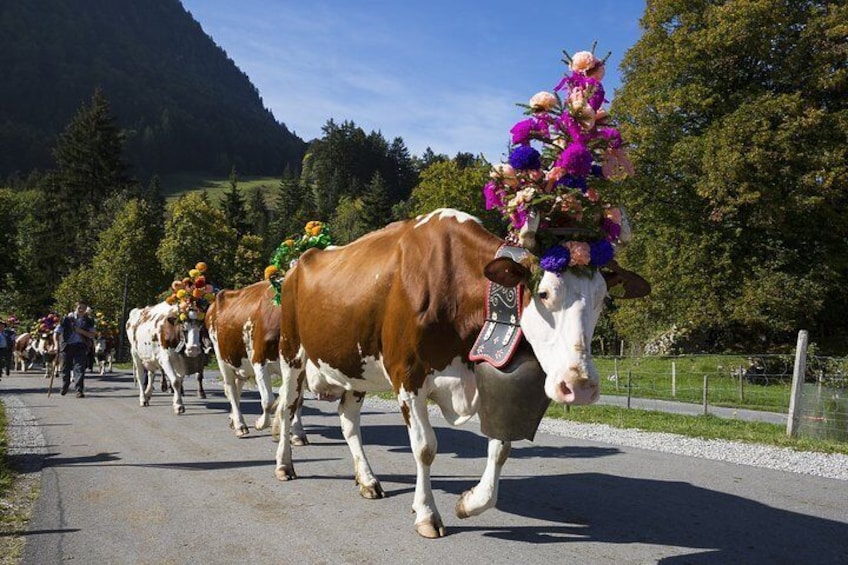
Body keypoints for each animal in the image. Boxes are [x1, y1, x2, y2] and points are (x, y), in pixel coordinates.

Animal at [206, 278, 308, 440]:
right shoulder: (259, 361)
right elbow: (268, 400)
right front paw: (261, 423)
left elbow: (297, 400)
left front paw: (298, 433)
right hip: (222, 358)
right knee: (230, 389)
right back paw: (240, 425)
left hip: (239, 363)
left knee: (238, 386)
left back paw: (233, 420)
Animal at [274, 208, 648, 536]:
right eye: (543, 293)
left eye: (603, 299)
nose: (580, 385)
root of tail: (299, 262)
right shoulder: (408, 376)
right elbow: (425, 447)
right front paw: (427, 514)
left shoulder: (483, 376)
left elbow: (500, 448)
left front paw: (469, 502)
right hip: (292, 352)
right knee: (287, 407)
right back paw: (284, 465)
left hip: (355, 365)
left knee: (348, 421)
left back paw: (367, 480)